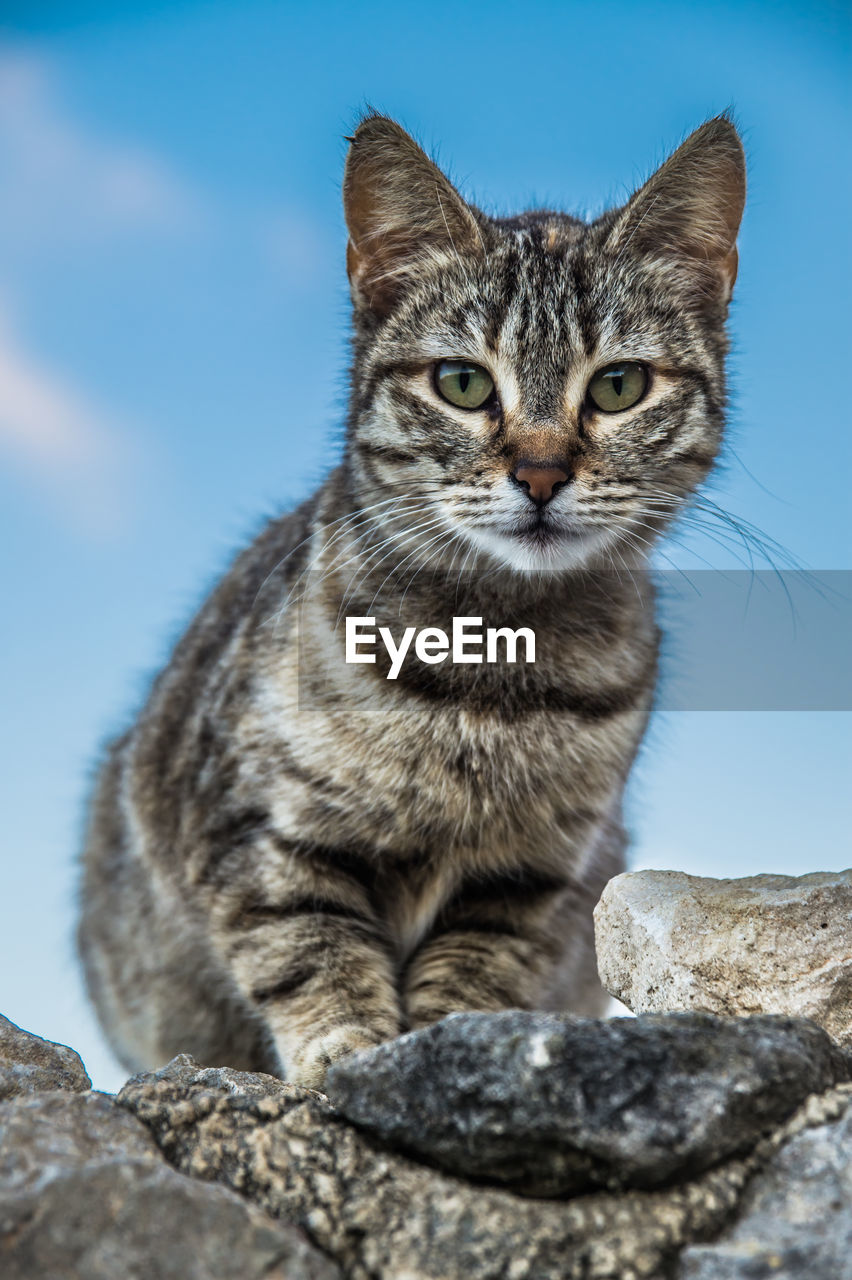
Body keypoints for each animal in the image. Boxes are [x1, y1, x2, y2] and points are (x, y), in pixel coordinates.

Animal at [79, 112, 741, 1090]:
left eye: (618, 385)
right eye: (462, 383)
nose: (540, 472)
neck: (488, 661)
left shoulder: (530, 874)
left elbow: (472, 969)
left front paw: (442, 1048)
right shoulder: (262, 834)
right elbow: (309, 946)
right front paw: (345, 1047)